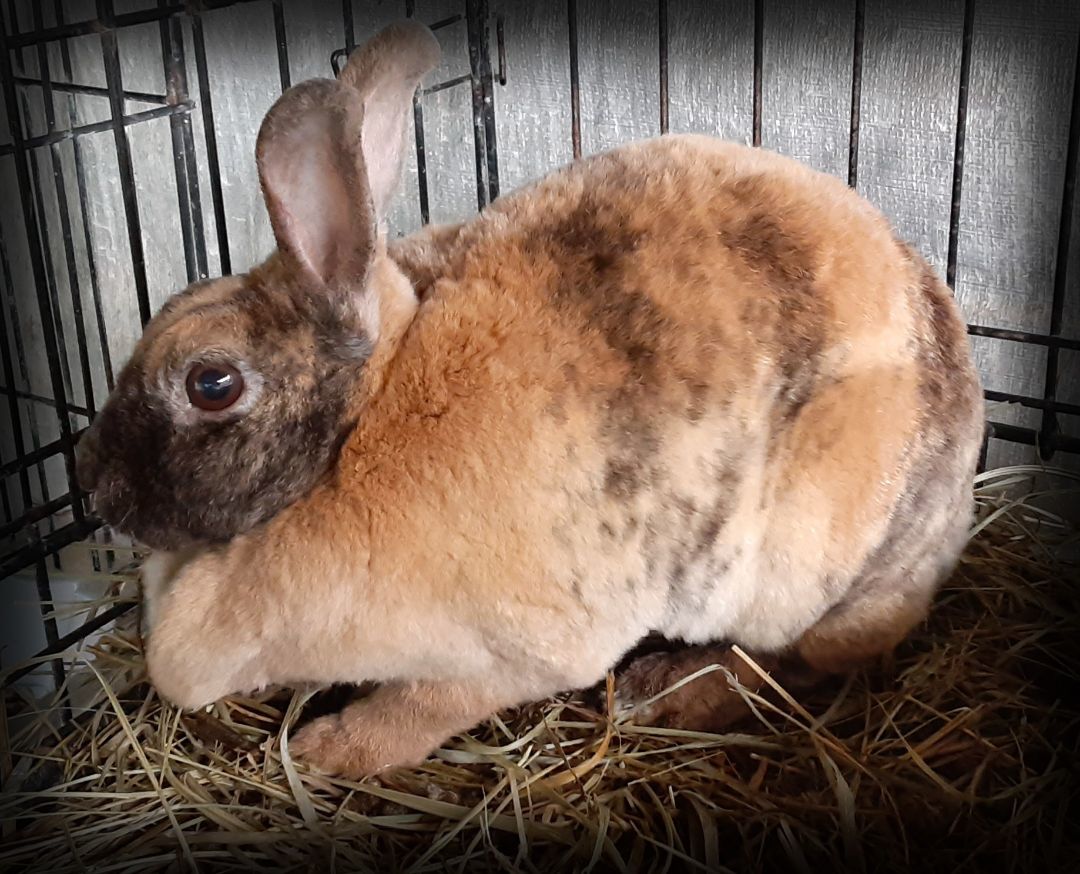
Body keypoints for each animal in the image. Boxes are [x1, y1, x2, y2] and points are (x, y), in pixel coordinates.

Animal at [76, 18, 989, 769]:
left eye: (212, 383)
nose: (95, 487)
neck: (360, 427)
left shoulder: (510, 656)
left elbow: (422, 708)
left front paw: (330, 751)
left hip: (803, 569)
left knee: (790, 659)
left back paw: (669, 689)